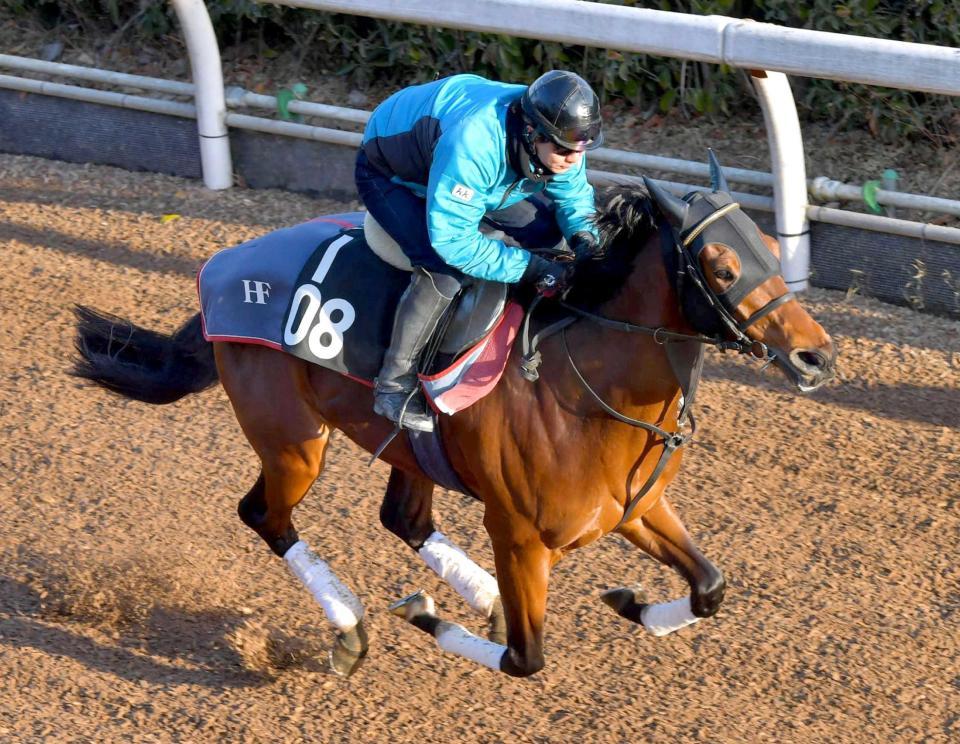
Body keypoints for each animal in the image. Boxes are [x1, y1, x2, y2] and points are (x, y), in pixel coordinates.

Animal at [71, 158, 836, 680]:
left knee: (404, 518)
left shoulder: (633, 508)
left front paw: (628, 600)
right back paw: (350, 627)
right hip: (292, 441)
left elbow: (710, 588)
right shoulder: (519, 537)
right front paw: (423, 613)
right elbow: (525, 658)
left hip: (407, 450)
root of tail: (221, 270)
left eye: (773, 246)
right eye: (721, 264)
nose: (817, 355)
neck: (584, 385)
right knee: (266, 516)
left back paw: (477, 596)